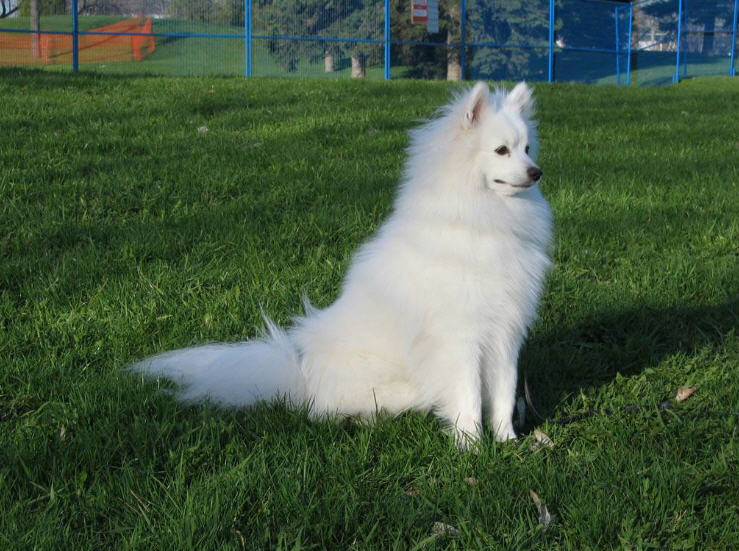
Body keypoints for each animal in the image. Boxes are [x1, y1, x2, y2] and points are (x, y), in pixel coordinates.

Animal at [132, 83, 556, 452]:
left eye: (527, 148)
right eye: (501, 150)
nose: (537, 171)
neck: (483, 223)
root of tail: (302, 379)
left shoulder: (506, 333)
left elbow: (504, 393)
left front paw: (507, 442)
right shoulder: (459, 339)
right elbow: (468, 396)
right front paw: (471, 448)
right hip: (388, 384)